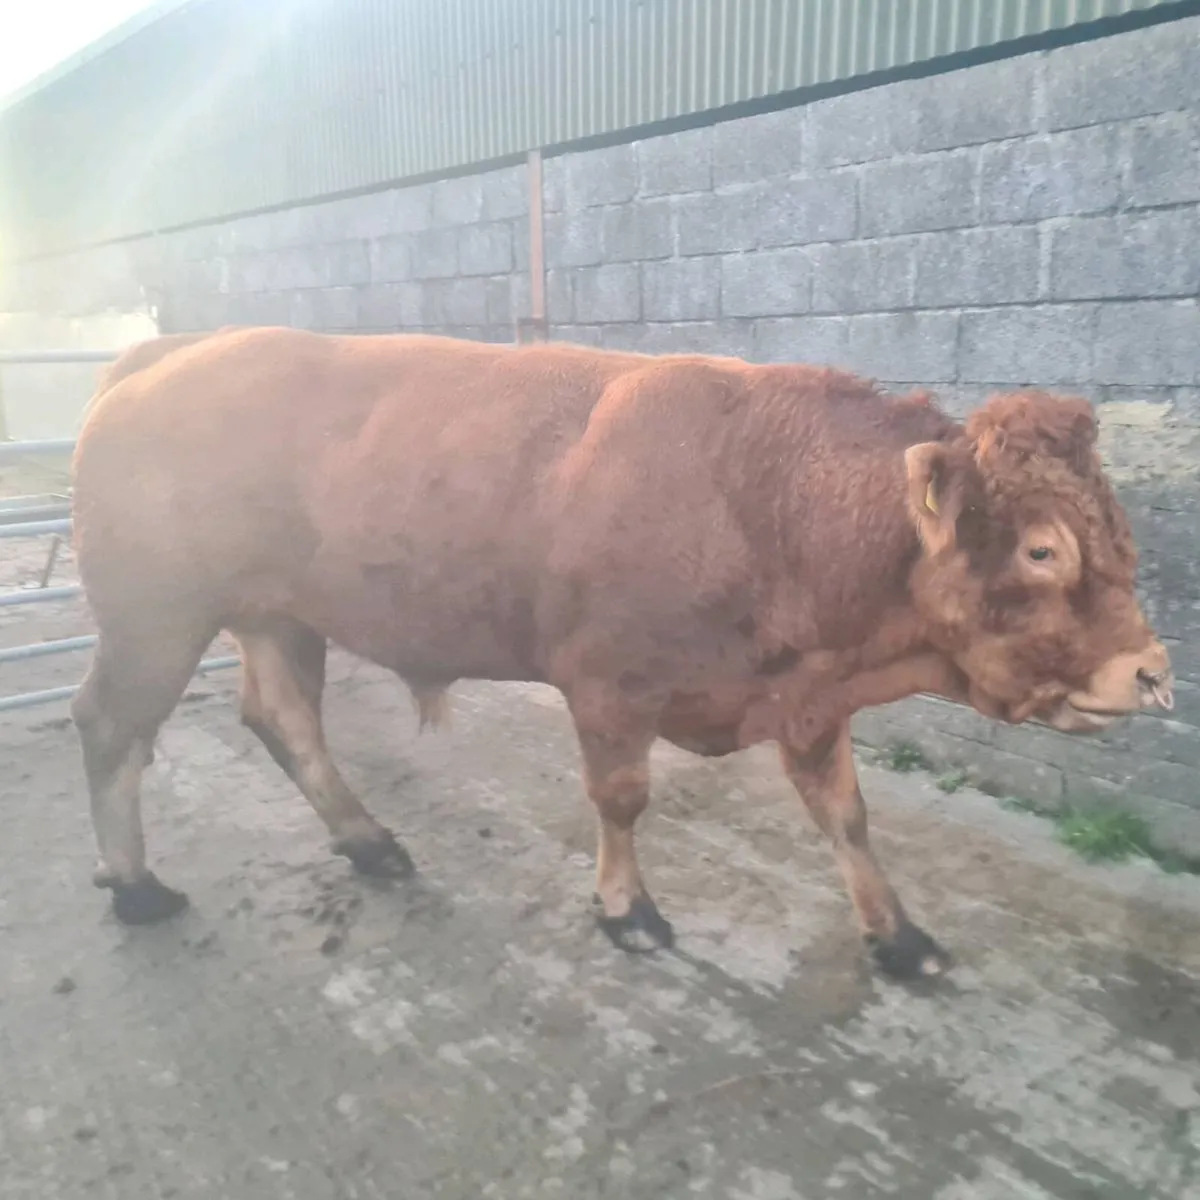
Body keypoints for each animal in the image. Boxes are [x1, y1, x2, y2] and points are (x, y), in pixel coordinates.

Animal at [69, 326, 1174, 979]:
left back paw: (372, 844)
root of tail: (162, 355)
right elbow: (622, 799)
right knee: (111, 728)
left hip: (273, 616)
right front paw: (627, 911)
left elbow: (846, 818)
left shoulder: (812, 703)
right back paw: (135, 887)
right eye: (1041, 548)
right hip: (154, 620)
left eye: (1118, 533)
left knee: (282, 718)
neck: (760, 491)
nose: (1153, 675)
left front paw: (896, 935)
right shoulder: (607, 689)